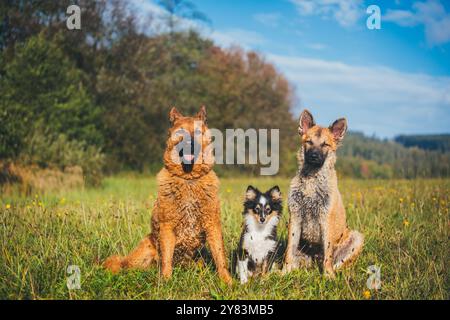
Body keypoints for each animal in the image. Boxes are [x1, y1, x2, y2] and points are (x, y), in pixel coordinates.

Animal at [103, 106, 232, 284]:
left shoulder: (212, 224)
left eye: (198, 132)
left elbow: (220, 256)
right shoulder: (167, 227)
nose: (189, 143)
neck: (188, 179)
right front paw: (165, 280)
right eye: (181, 132)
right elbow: (166, 259)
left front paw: (227, 281)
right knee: (124, 265)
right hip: (145, 249)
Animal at [284, 110, 366, 278]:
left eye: (325, 144)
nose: (314, 156)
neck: (311, 180)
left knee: (336, 262)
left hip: (356, 238)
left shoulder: (326, 220)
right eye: (309, 142)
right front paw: (283, 272)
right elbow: (289, 250)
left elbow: (328, 253)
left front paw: (327, 276)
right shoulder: (294, 218)